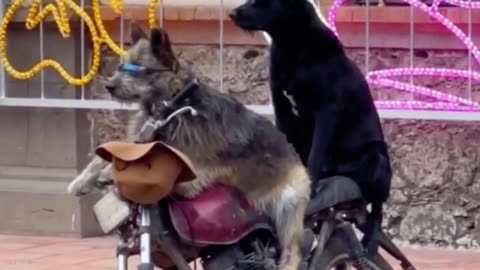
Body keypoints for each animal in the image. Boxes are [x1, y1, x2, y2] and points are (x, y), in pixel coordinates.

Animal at [231, 0, 392, 254]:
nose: (232, 14)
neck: (292, 45)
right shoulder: (282, 112)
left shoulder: (326, 112)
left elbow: (315, 155)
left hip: (377, 158)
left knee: (376, 209)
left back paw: (370, 240)